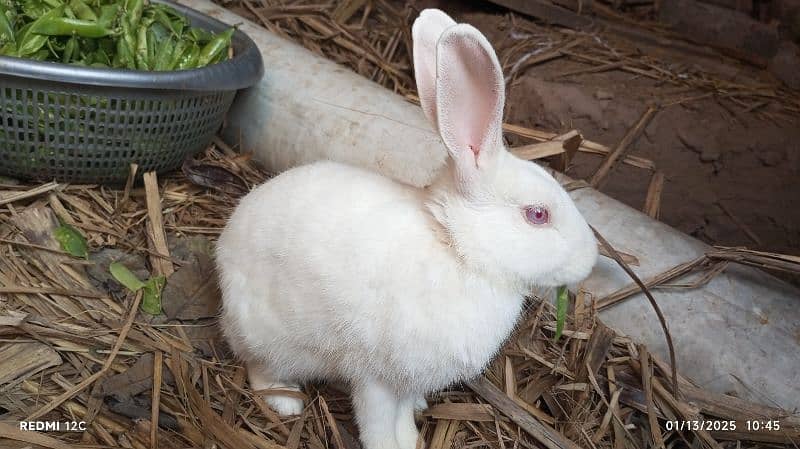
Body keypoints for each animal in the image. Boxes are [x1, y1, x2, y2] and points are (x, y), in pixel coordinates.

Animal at [216, 9, 596, 448]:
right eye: (537, 215)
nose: (591, 260)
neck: (455, 247)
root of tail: (222, 253)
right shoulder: (376, 378)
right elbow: (380, 424)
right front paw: (394, 442)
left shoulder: (408, 380)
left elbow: (403, 414)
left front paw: (414, 430)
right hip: (271, 338)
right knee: (259, 367)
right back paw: (287, 403)